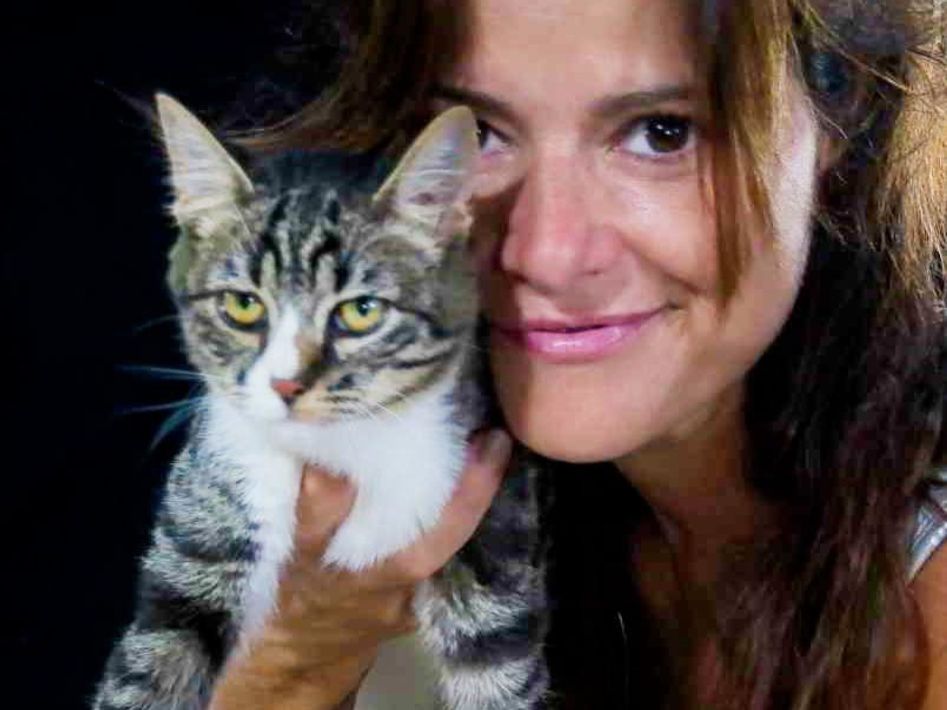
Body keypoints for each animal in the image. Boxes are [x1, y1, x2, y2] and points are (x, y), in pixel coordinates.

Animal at [92, 95, 549, 710]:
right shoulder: (214, 491)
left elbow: (497, 663)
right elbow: (159, 652)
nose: (286, 385)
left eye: (360, 312)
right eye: (242, 305)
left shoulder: (497, 516)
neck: (347, 447)